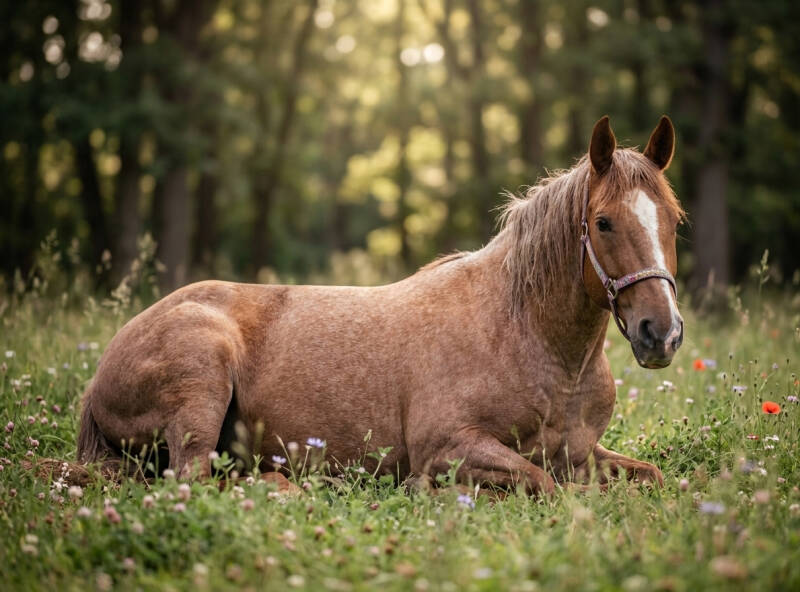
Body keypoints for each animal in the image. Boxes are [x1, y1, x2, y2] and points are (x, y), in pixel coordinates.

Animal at [77, 116, 684, 494]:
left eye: (674, 221)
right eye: (603, 222)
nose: (661, 333)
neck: (529, 338)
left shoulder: (581, 455)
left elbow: (649, 475)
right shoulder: (449, 447)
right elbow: (544, 486)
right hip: (201, 386)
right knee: (194, 479)